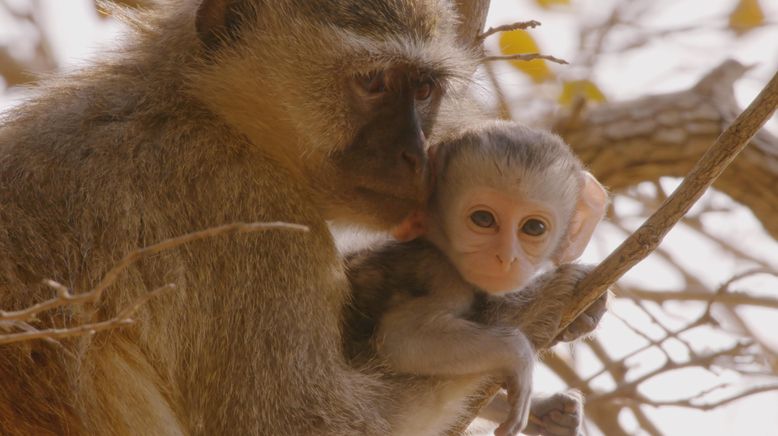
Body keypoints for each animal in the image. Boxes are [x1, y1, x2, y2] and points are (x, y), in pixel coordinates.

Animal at [344, 120, 608, 436]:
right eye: (483, 219)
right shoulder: (441, 275)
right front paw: (518, 353)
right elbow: (402, 337)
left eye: (533, 227)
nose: (505, 257)